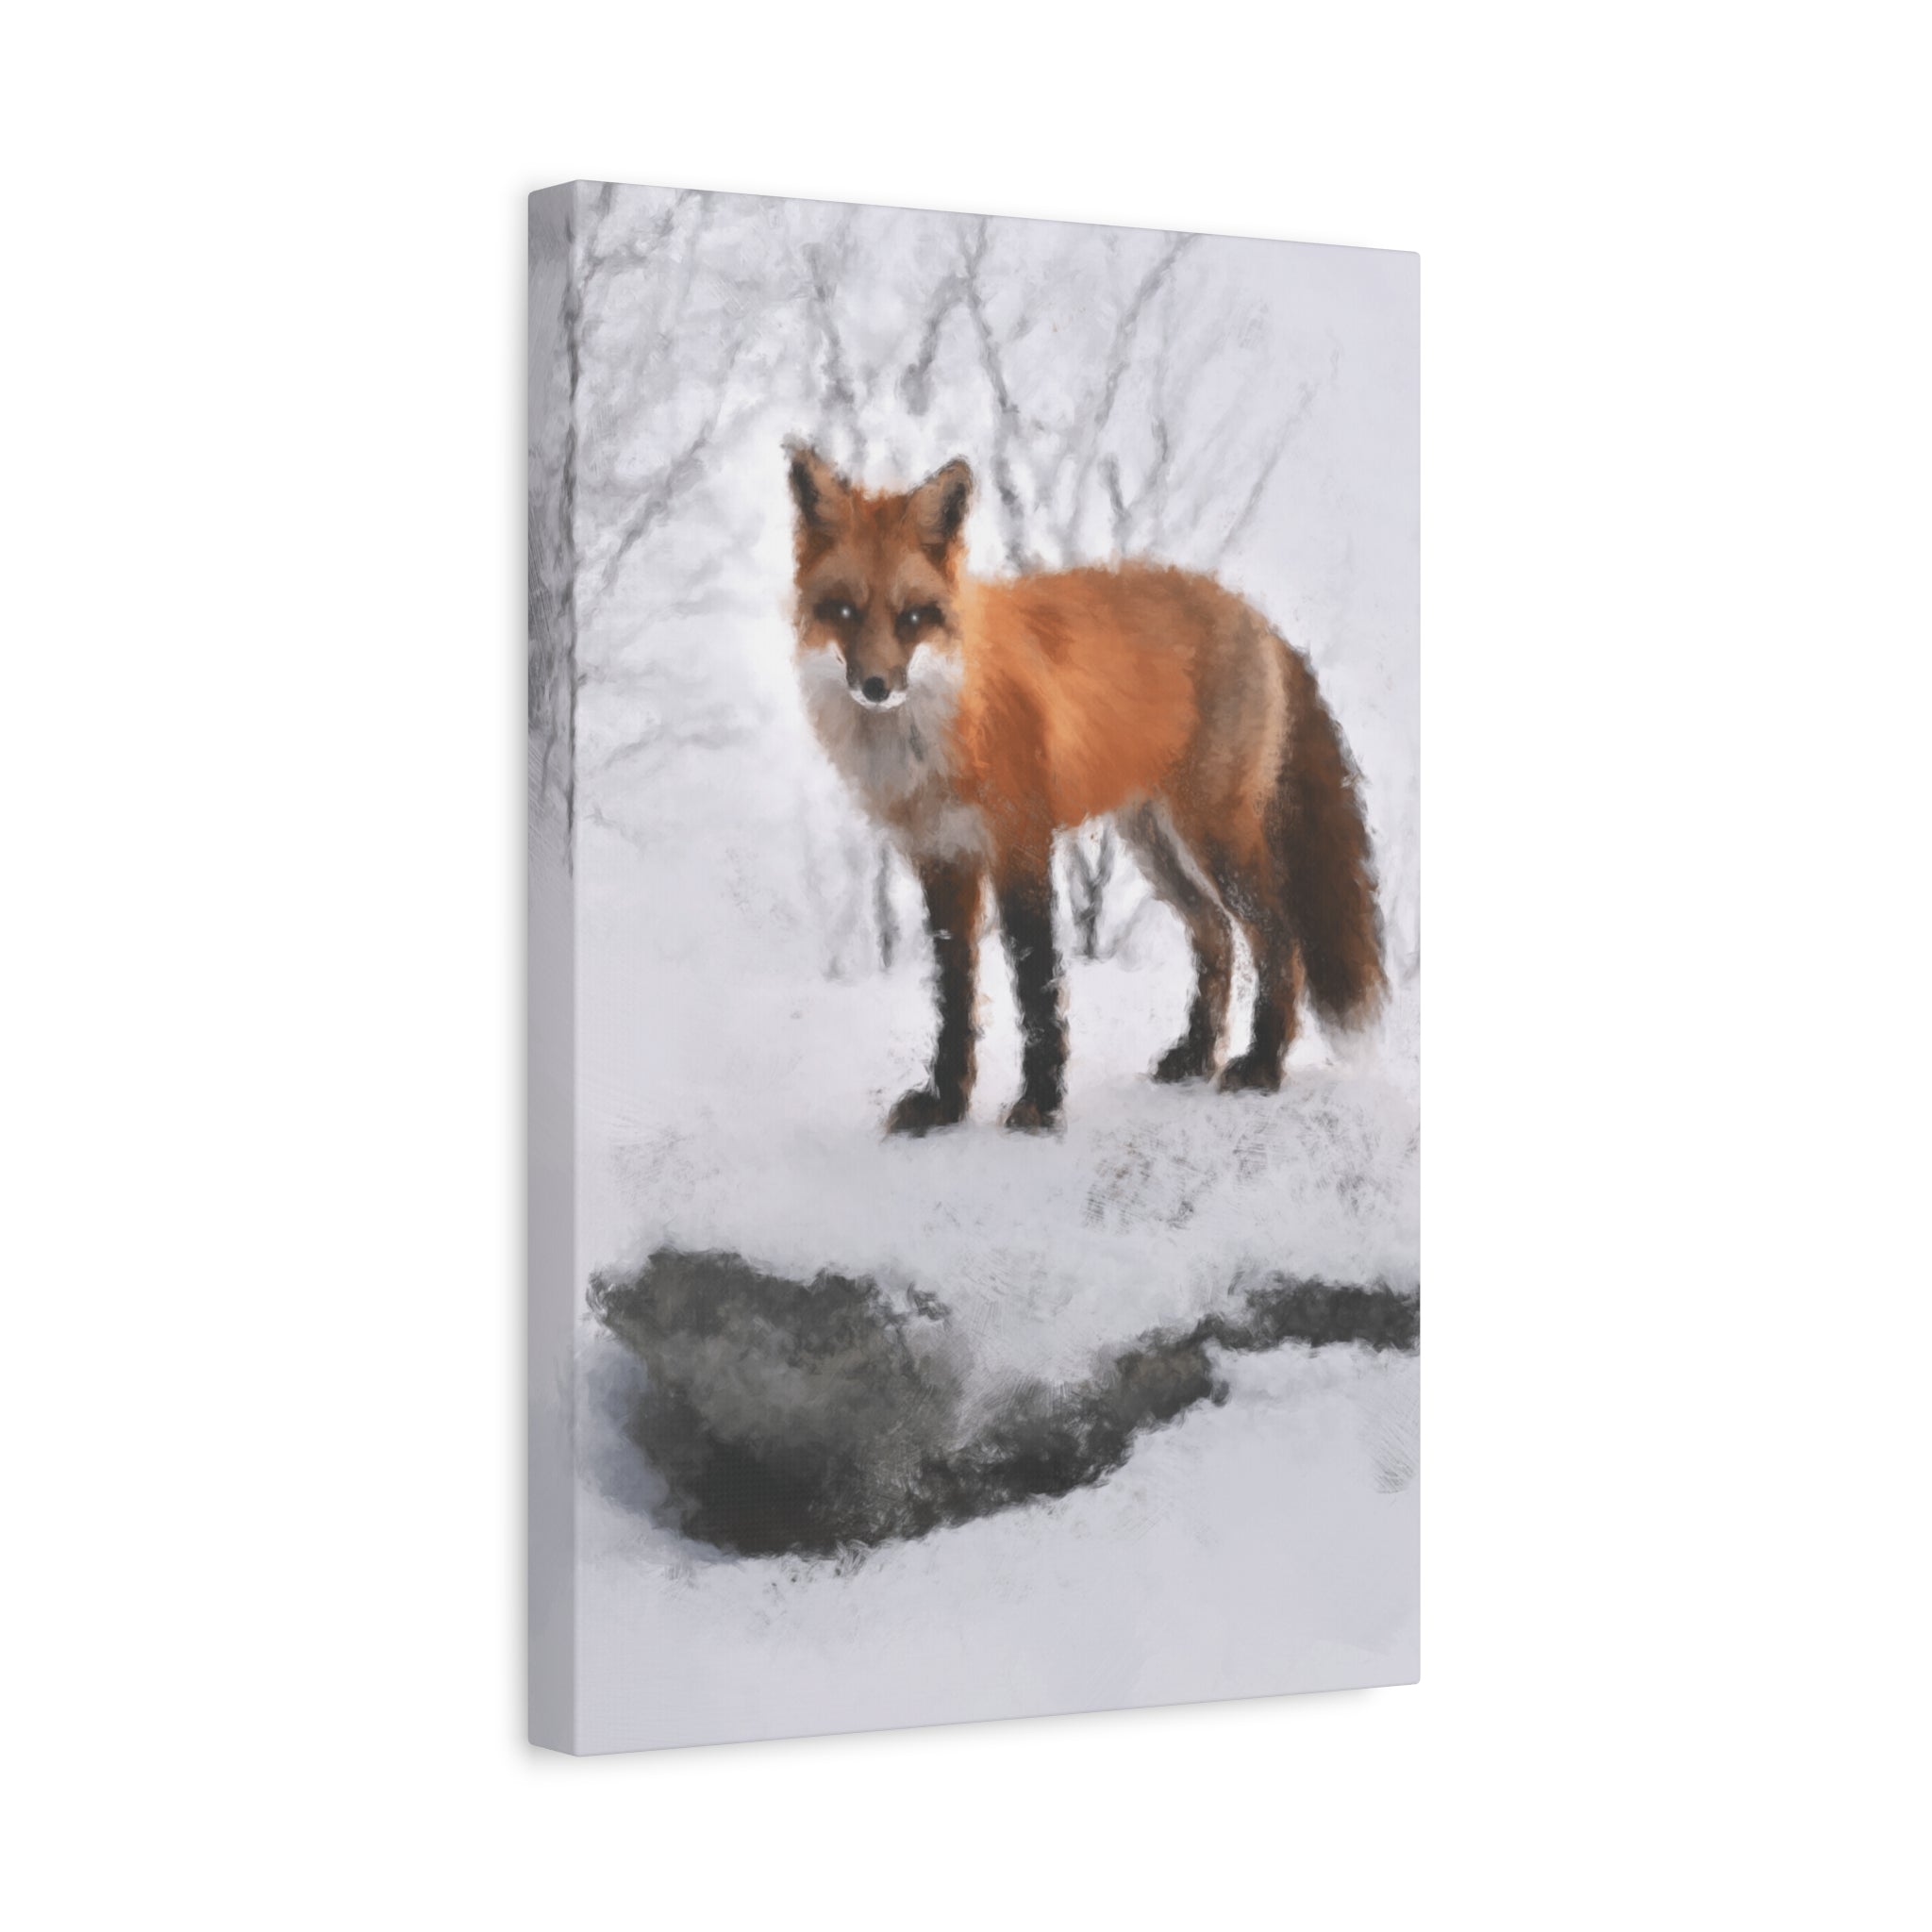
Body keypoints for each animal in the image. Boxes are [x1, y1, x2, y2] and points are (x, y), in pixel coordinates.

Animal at [786, 440, 1385, 1136]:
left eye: (912, 618)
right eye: (844, 611)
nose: (876, 687)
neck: (940, 728)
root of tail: (1255, 614)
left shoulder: (1020, 843)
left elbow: (1036, 981)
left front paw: (1040, 1103)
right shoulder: (943, 858)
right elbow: (955, 995)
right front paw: (945, 1104)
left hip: (1215, 838)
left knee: (1278, 939)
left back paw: (1262, 1065)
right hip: (1157, 845)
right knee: (1215, 937)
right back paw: (1196, 1055)